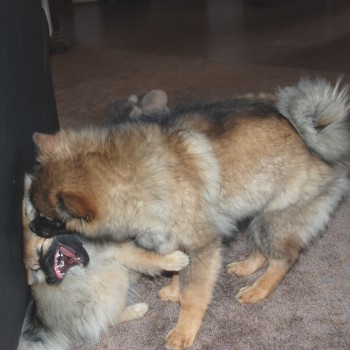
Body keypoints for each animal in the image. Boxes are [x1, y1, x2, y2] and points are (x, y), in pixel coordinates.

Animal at [28, 78, 350, 348]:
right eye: (33, 207)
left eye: (51, 220)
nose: (31, 228)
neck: (134, 175)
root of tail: (319, 138)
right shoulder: (172, 238)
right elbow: (175, 270)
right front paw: (173, 290)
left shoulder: (202, 246)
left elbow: (193, 296)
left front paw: (183, 331)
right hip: (256, 210)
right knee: (263, 249)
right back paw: (246, 267)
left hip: (275, 218)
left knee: (285, 258)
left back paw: (258, 289)